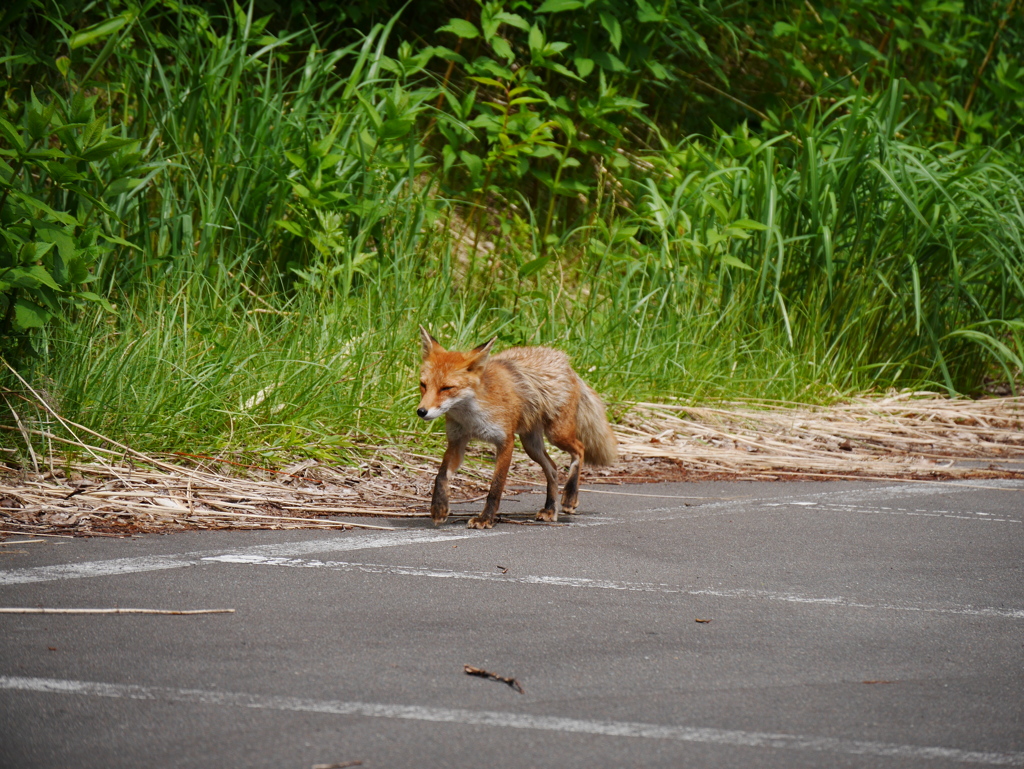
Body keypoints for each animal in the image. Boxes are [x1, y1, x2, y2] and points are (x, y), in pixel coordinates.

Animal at [415, 325, 614, 528]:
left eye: (446, 388)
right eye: (423, 385)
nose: (421, 411)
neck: (471, 418)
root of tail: (566, 364)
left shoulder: (505, 441)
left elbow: (496, 487)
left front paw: (485, 518)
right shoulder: (457, 441)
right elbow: (440, 475)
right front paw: (439, 508)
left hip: (557, 434)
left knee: (580, 449)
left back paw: (570, 496)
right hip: (531, 445)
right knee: (553, 468)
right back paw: (550, 509)